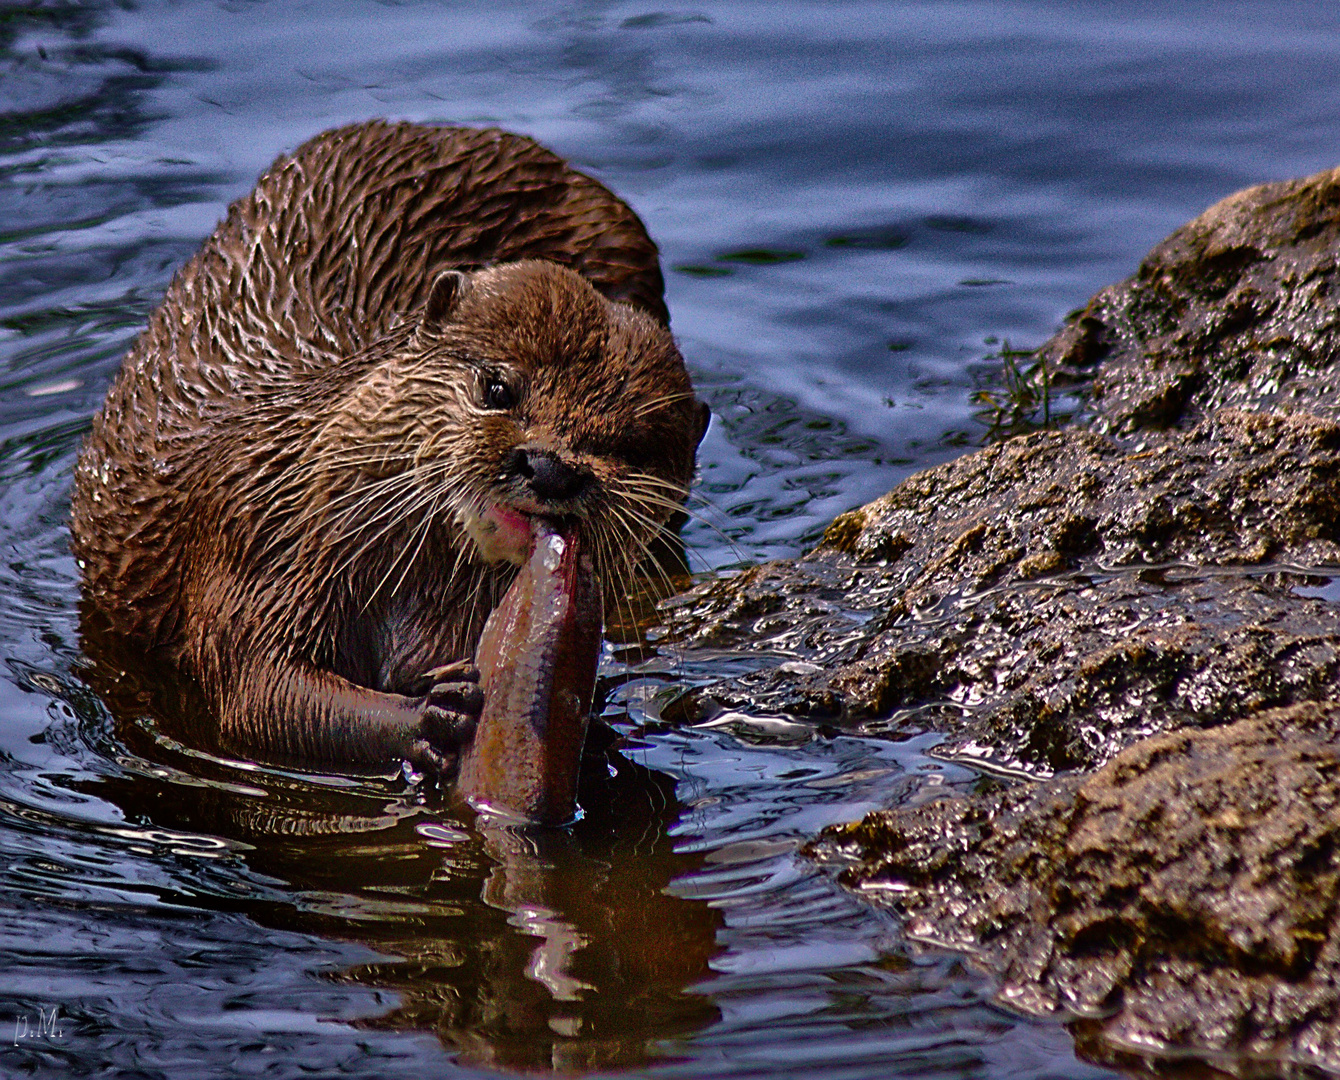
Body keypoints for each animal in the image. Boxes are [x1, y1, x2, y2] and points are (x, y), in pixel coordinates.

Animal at [72, 122, 707, 782]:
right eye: (497, 388)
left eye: (629, 447)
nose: (550, 467)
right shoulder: (255, 541)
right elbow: (259, 689)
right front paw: (431, 713)